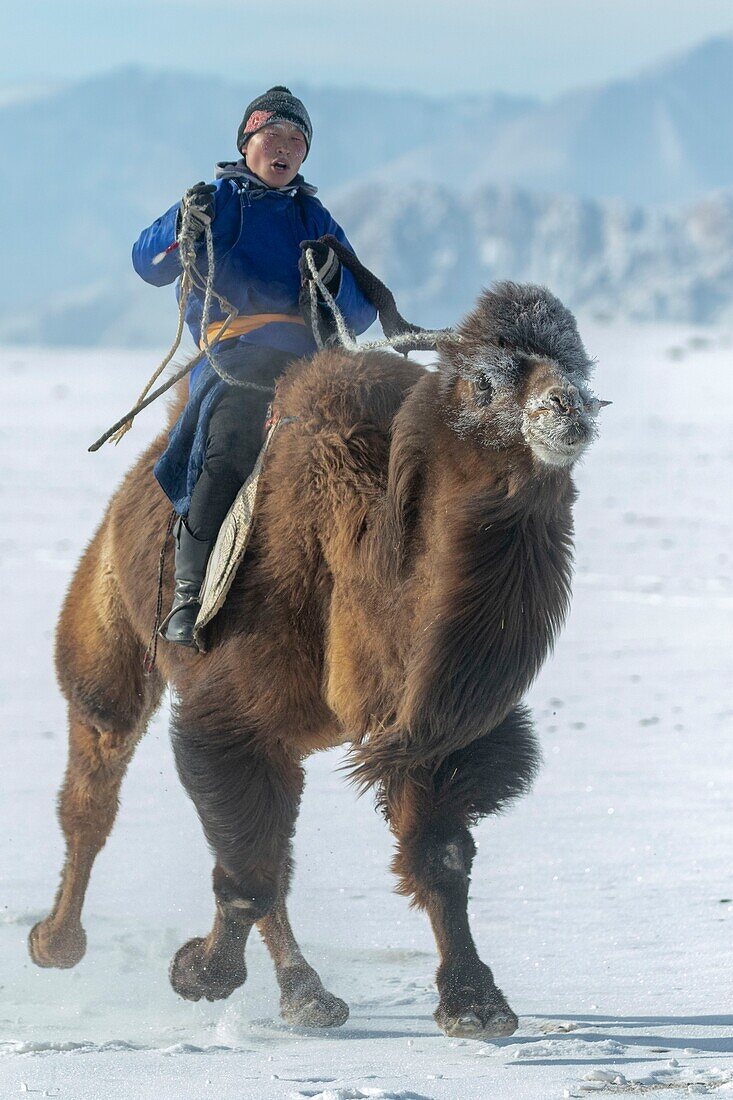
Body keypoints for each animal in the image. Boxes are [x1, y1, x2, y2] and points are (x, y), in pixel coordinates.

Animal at [28, 281, 603, 1038]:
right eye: (483, 382)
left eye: (579, 363)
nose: (567, 408)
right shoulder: (231, 718)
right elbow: (248, 875)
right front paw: (198, 974)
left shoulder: (426, 729)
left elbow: (439, 856)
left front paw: (476, 1005)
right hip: (109, 621)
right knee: (97, 776)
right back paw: (56, 942)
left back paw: (307, 995)